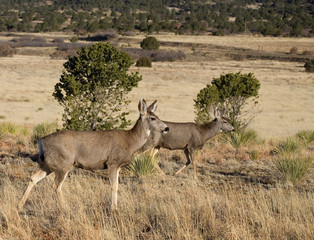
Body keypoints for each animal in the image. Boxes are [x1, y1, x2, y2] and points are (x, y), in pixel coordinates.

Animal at [18, 98, 168, 211]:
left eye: (157, 117)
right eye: (153, 118)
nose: (166, 128)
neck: (131, 141)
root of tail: (42, 141)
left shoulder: (118, 166)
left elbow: (117, 186)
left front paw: (115, 207)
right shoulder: (112, 162)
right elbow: (114, 186)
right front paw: (113, 209)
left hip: (47, 164)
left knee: (33, 178)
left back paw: (19, 206)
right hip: (64, 163)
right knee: (56, 186)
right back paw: (65, 208)